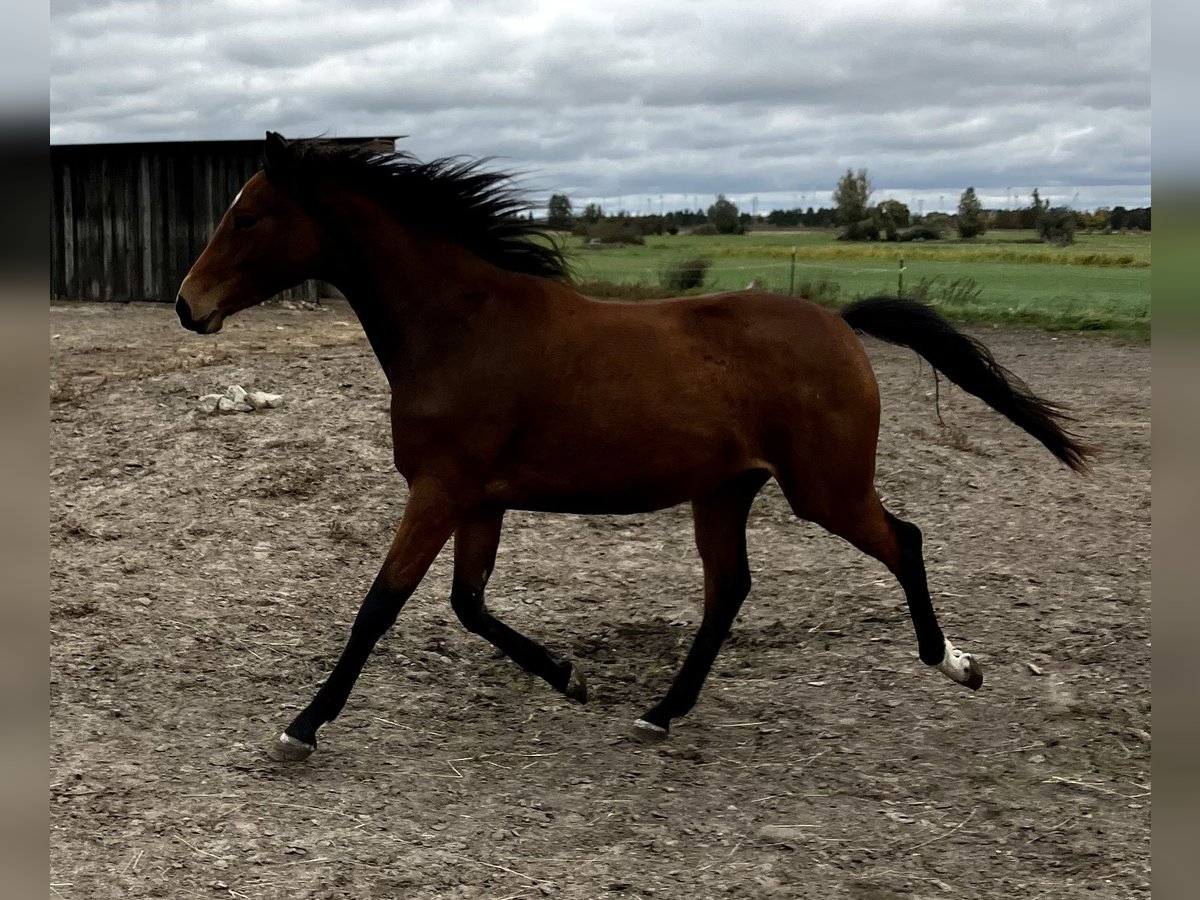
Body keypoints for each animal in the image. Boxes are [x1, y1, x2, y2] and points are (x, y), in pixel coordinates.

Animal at [177, 132, 1099, 763]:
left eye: (247, 216)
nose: (188, 305)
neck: (459, 327)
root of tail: (840, 323)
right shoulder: (477, 499)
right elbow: (468, 604)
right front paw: (570, 676)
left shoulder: (439, 491)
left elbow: (381, 605)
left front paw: (302, 727)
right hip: (726, 491)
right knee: (730, 591)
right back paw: (660, 711)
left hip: (823, 490)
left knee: (902, 541)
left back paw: (955, 664)